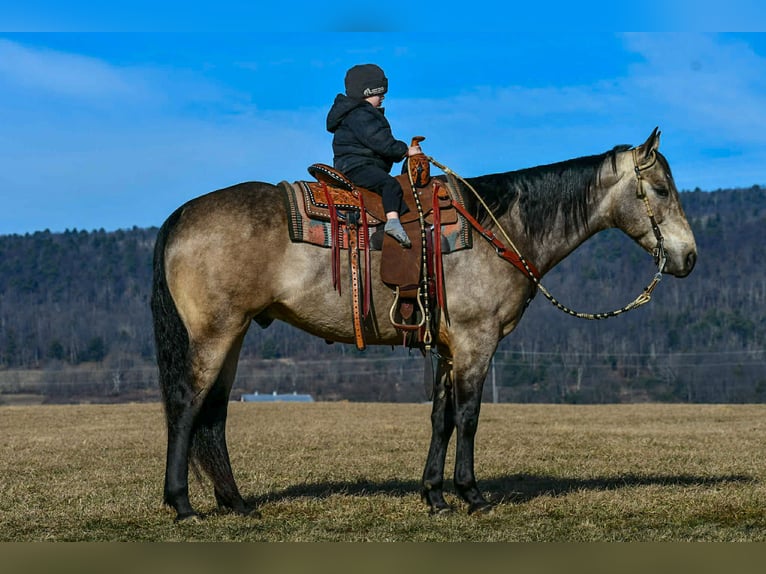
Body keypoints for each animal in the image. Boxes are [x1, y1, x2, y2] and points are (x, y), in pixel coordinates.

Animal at [151, 127, 697, 521]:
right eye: (661, 189)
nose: (688, 257)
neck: (498, 228)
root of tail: (181, 215)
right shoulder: (477, 342)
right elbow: (468, 417)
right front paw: (471, 494)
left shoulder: (448, 349)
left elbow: (440, 419)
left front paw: (434, 495)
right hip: (214, 333)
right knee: (186, 405)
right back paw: (182, 504)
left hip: (235, 333)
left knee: (214, 414)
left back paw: (236, 503)